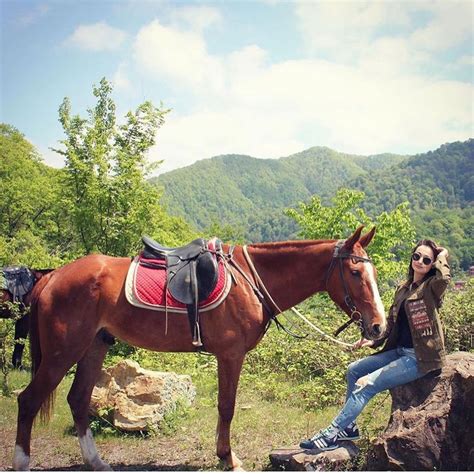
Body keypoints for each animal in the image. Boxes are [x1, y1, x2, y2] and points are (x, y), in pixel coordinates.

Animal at [12, 226, 386, 470]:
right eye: (355, 272)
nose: (379, 327)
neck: (251, 281)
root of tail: (53, 276)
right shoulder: (230, 355)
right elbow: (226, 406)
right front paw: (227, 457)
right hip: (63, 352)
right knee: (29, 401)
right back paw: (22, 462)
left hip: (93, 346)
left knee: (77, 400)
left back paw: (97, 462)